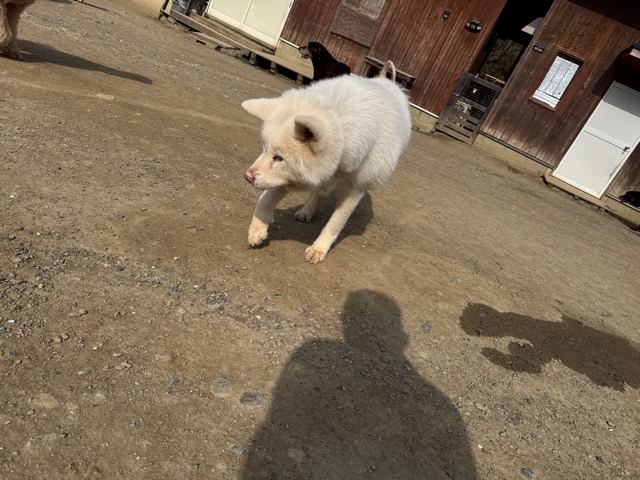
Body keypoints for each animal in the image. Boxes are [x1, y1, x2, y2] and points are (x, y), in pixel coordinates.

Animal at [242, 61, 411, 264]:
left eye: (279, 158)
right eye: (264, 148)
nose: (247, 177)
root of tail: (388, 82)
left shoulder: (356, 189)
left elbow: (335, 223)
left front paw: (319, 248)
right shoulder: (287, 178)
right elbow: (266, 198)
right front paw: (258, 229)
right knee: (318, 193)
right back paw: (306, 211)